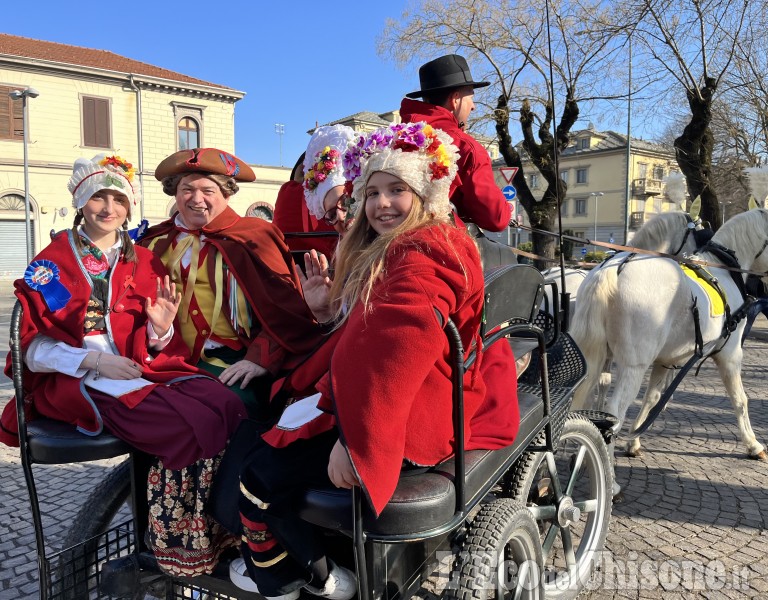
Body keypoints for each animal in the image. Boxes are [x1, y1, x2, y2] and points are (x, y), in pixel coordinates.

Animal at [568, 209, 768, 462]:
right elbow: (740, 399)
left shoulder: (664, 360)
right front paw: (753, 444)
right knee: (614, 412)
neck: (723, 268)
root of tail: (613, 269)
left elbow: (652, 398)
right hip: (634, 366)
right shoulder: (730, 355)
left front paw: (634, 440)